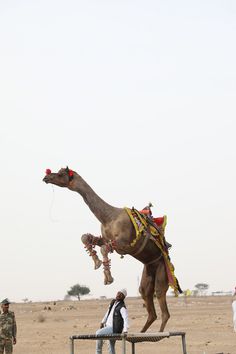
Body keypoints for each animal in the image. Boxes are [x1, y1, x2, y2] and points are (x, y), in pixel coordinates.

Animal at [42, 167, 181, 332]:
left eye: (60, 174)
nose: (46, 177)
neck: (108, 217)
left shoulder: (126, 245)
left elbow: (104, 248)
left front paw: (108, 277)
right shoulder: (107, 238)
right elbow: (86, 238)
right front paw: (97, 263)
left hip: (162, 268)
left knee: (162, 301)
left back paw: (159, 333)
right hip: (149, 269)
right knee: (147, 299)